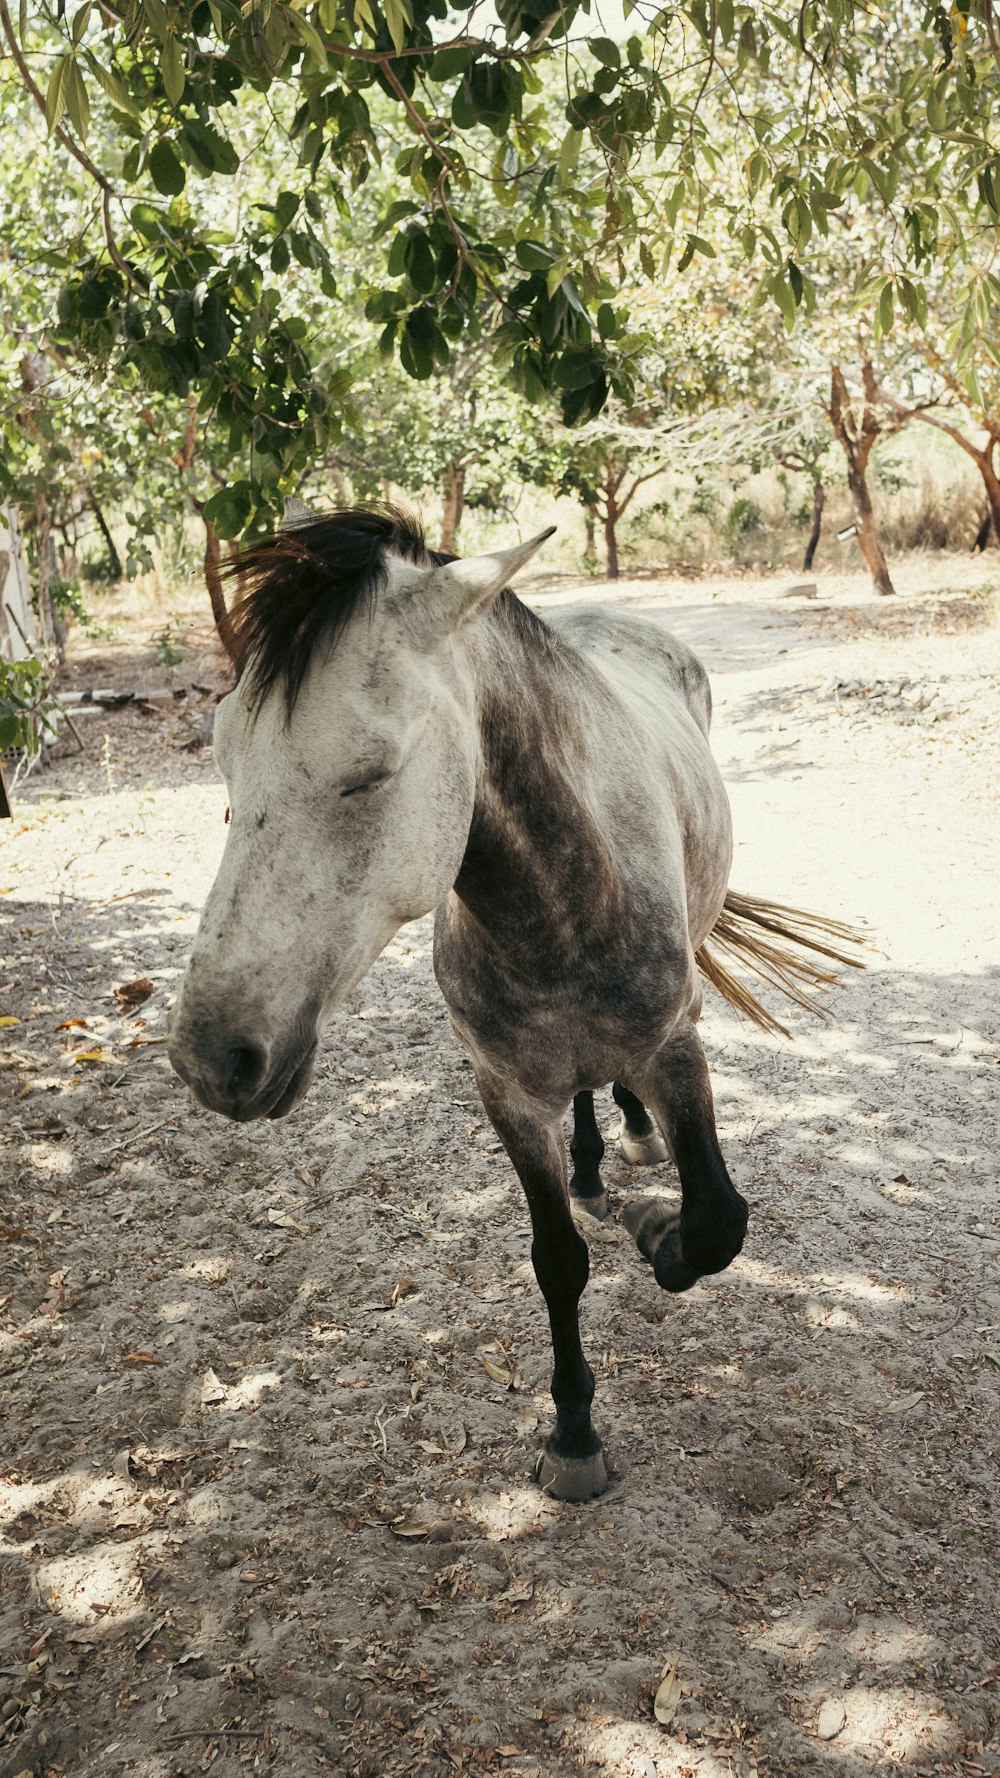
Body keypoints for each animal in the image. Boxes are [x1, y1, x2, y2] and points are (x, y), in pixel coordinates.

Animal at [167, 504, 854, 1500]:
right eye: (221, 762)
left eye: (370, 772)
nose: (212, 1059)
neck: (566, 899)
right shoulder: (505, 1093)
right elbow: (556, 1259)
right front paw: (573, 1433)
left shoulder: (678, 1049)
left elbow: (717, 1222)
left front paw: (657, 1227)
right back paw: (597, 1169)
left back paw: (632, 1145)